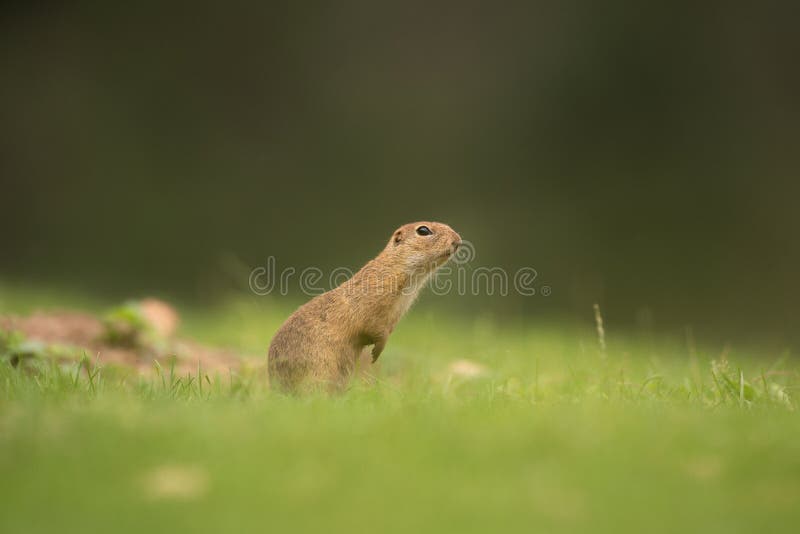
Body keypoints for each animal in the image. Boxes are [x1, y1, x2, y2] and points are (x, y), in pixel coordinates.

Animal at [268, 222, 462, 394]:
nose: (458, 240)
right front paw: (376, 354)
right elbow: (373, 328)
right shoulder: (375, 304)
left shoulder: (395, 316)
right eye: (423, 230)